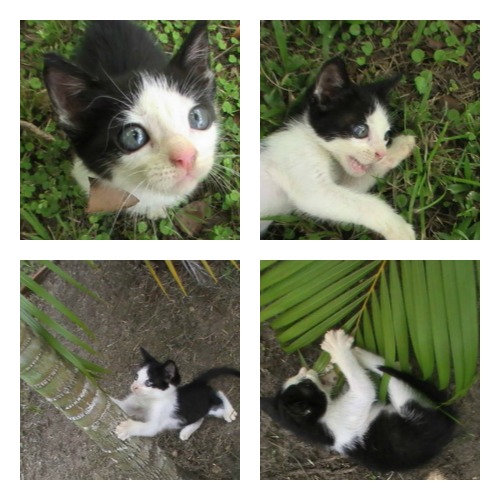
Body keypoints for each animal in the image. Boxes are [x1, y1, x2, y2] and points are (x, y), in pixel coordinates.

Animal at [260, 56, 416, 240]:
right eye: (361, 130)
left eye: (386, 136)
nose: (380, 153)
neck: (310, 138)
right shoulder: (300, 168)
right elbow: (365, 205)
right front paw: (401, 229)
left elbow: (356, 186)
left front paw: (399, 147)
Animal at [262, 330, 458, 470]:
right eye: (308, 385)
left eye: (301, 380)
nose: (307, 371)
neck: (318, 429)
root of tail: (446, 433)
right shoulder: (349, 412)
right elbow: (363, 386)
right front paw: (340, 350)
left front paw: (331, 372)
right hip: (409, 405)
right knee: (392, 378)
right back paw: (363, 356)